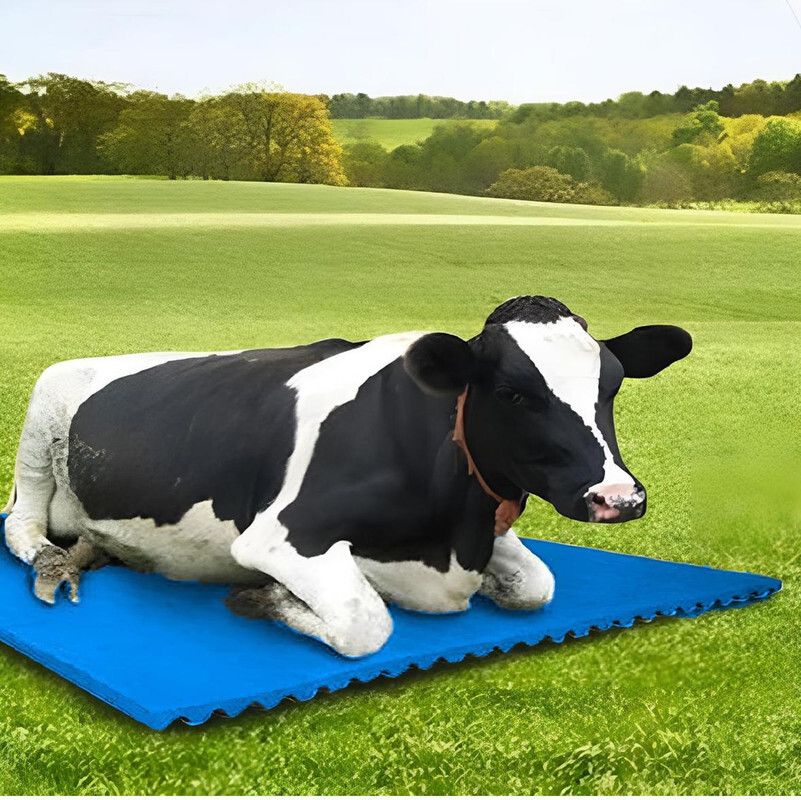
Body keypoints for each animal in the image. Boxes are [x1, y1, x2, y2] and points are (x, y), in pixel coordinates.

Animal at [2, 296, 691, 657]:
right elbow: (368, 625)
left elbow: (537, 586)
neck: (452, 534)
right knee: (21, 522)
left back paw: (93, 552)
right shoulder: (278, 536)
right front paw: (269, 599)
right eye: (513, 393)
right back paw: (52, 559)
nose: (618, 496)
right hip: (42, 414)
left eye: (612, 385)